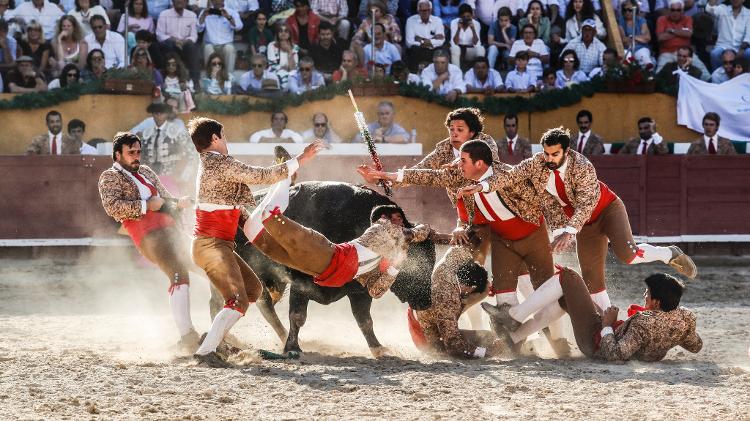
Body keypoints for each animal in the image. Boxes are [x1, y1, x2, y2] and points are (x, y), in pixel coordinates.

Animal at [209, 180, 438, 354]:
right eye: (419, 258)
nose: (426, 301)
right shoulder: (300, 283)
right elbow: (298, 316)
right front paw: (292, 348)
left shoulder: (359, 291)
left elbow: (365, 320)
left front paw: (378, 348)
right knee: (227, 303)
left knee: (261, 303)